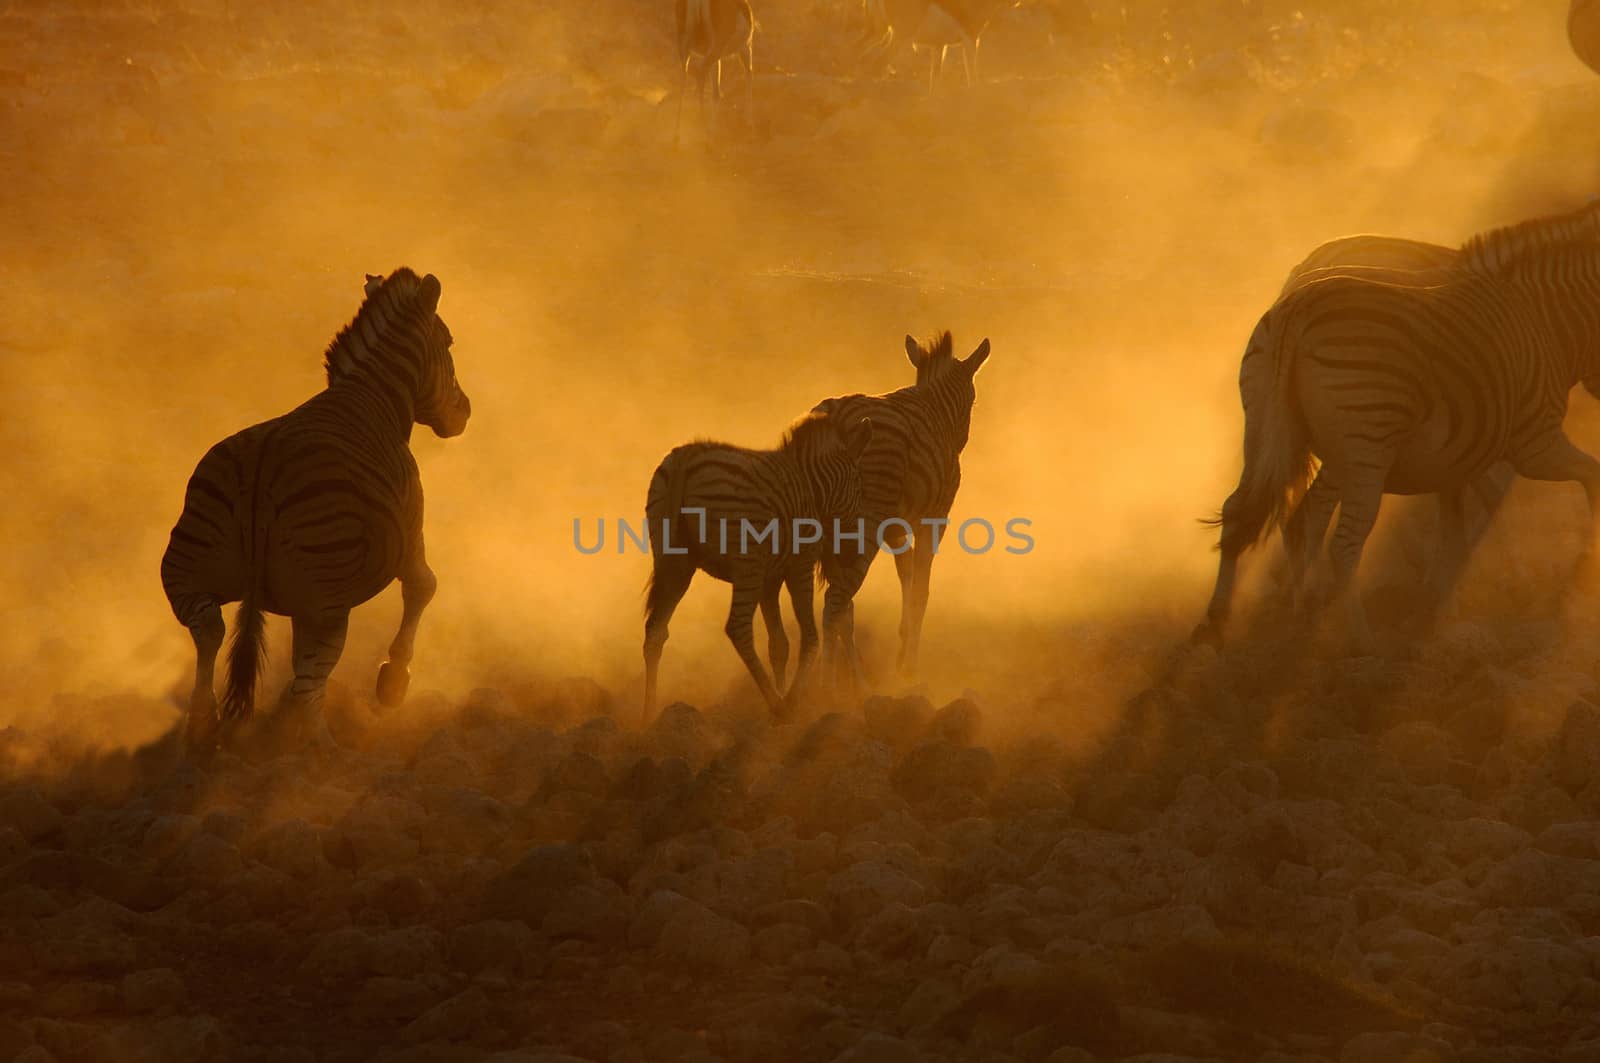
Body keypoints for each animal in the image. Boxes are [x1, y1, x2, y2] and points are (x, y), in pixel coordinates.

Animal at [161, 270, 467, 758]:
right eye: (449, 342)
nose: (465, 413)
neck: (372, 395)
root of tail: (263, 470)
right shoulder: (410, 533)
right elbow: (424, 587)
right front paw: (392, 683)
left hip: (186, 569)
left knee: (210, 630)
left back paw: (203, 728)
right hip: (325, 600)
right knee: (309, 678)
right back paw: (324, 755)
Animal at [640, 406, 876, 723]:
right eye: (859, 488)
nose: (851, 554)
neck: (812, 488)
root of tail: (684, 460)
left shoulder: (769, 579)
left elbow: (779, 644)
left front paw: (784, 692)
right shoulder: (799, 565)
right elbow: (809, 636)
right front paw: (792, 700)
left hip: (676, 564)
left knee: (655, 631)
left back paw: (648, 714)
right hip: (745, 564)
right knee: (738, 628)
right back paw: (777, 705)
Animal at [672, 0, 752, 143]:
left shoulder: (716, 59)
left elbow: (716, 93)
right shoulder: (745, 47)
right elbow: (748, 75)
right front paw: (749, 124)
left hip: (685, 45)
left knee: (685, 77)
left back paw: (678, 136)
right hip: (716, 48)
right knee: (700, 72)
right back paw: (705, 132)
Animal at [812, 334, 985, 697]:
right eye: (973, 401)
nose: (961, 443)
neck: (935, 407)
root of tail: (837, 414)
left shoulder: (896, 528)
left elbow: (906, 580)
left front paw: (902, 653)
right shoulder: (933, 519)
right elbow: (920, 589)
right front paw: (908, 670)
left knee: (841, 607)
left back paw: (858, 685)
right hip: (861, 526)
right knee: (836, 601)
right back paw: (828, 688)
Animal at [1203, 243, 1600, 653]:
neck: (1542, 319)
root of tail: (1297, 299)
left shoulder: (1458, 458)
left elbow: (1458, 526)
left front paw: (1440, 603)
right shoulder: (1527, 440)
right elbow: (1574, 479)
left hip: (1270, 428)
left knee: (1251, 508)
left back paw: (1235, 619)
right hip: (1357, 445)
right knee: (1332, 534)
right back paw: (1349, 632)